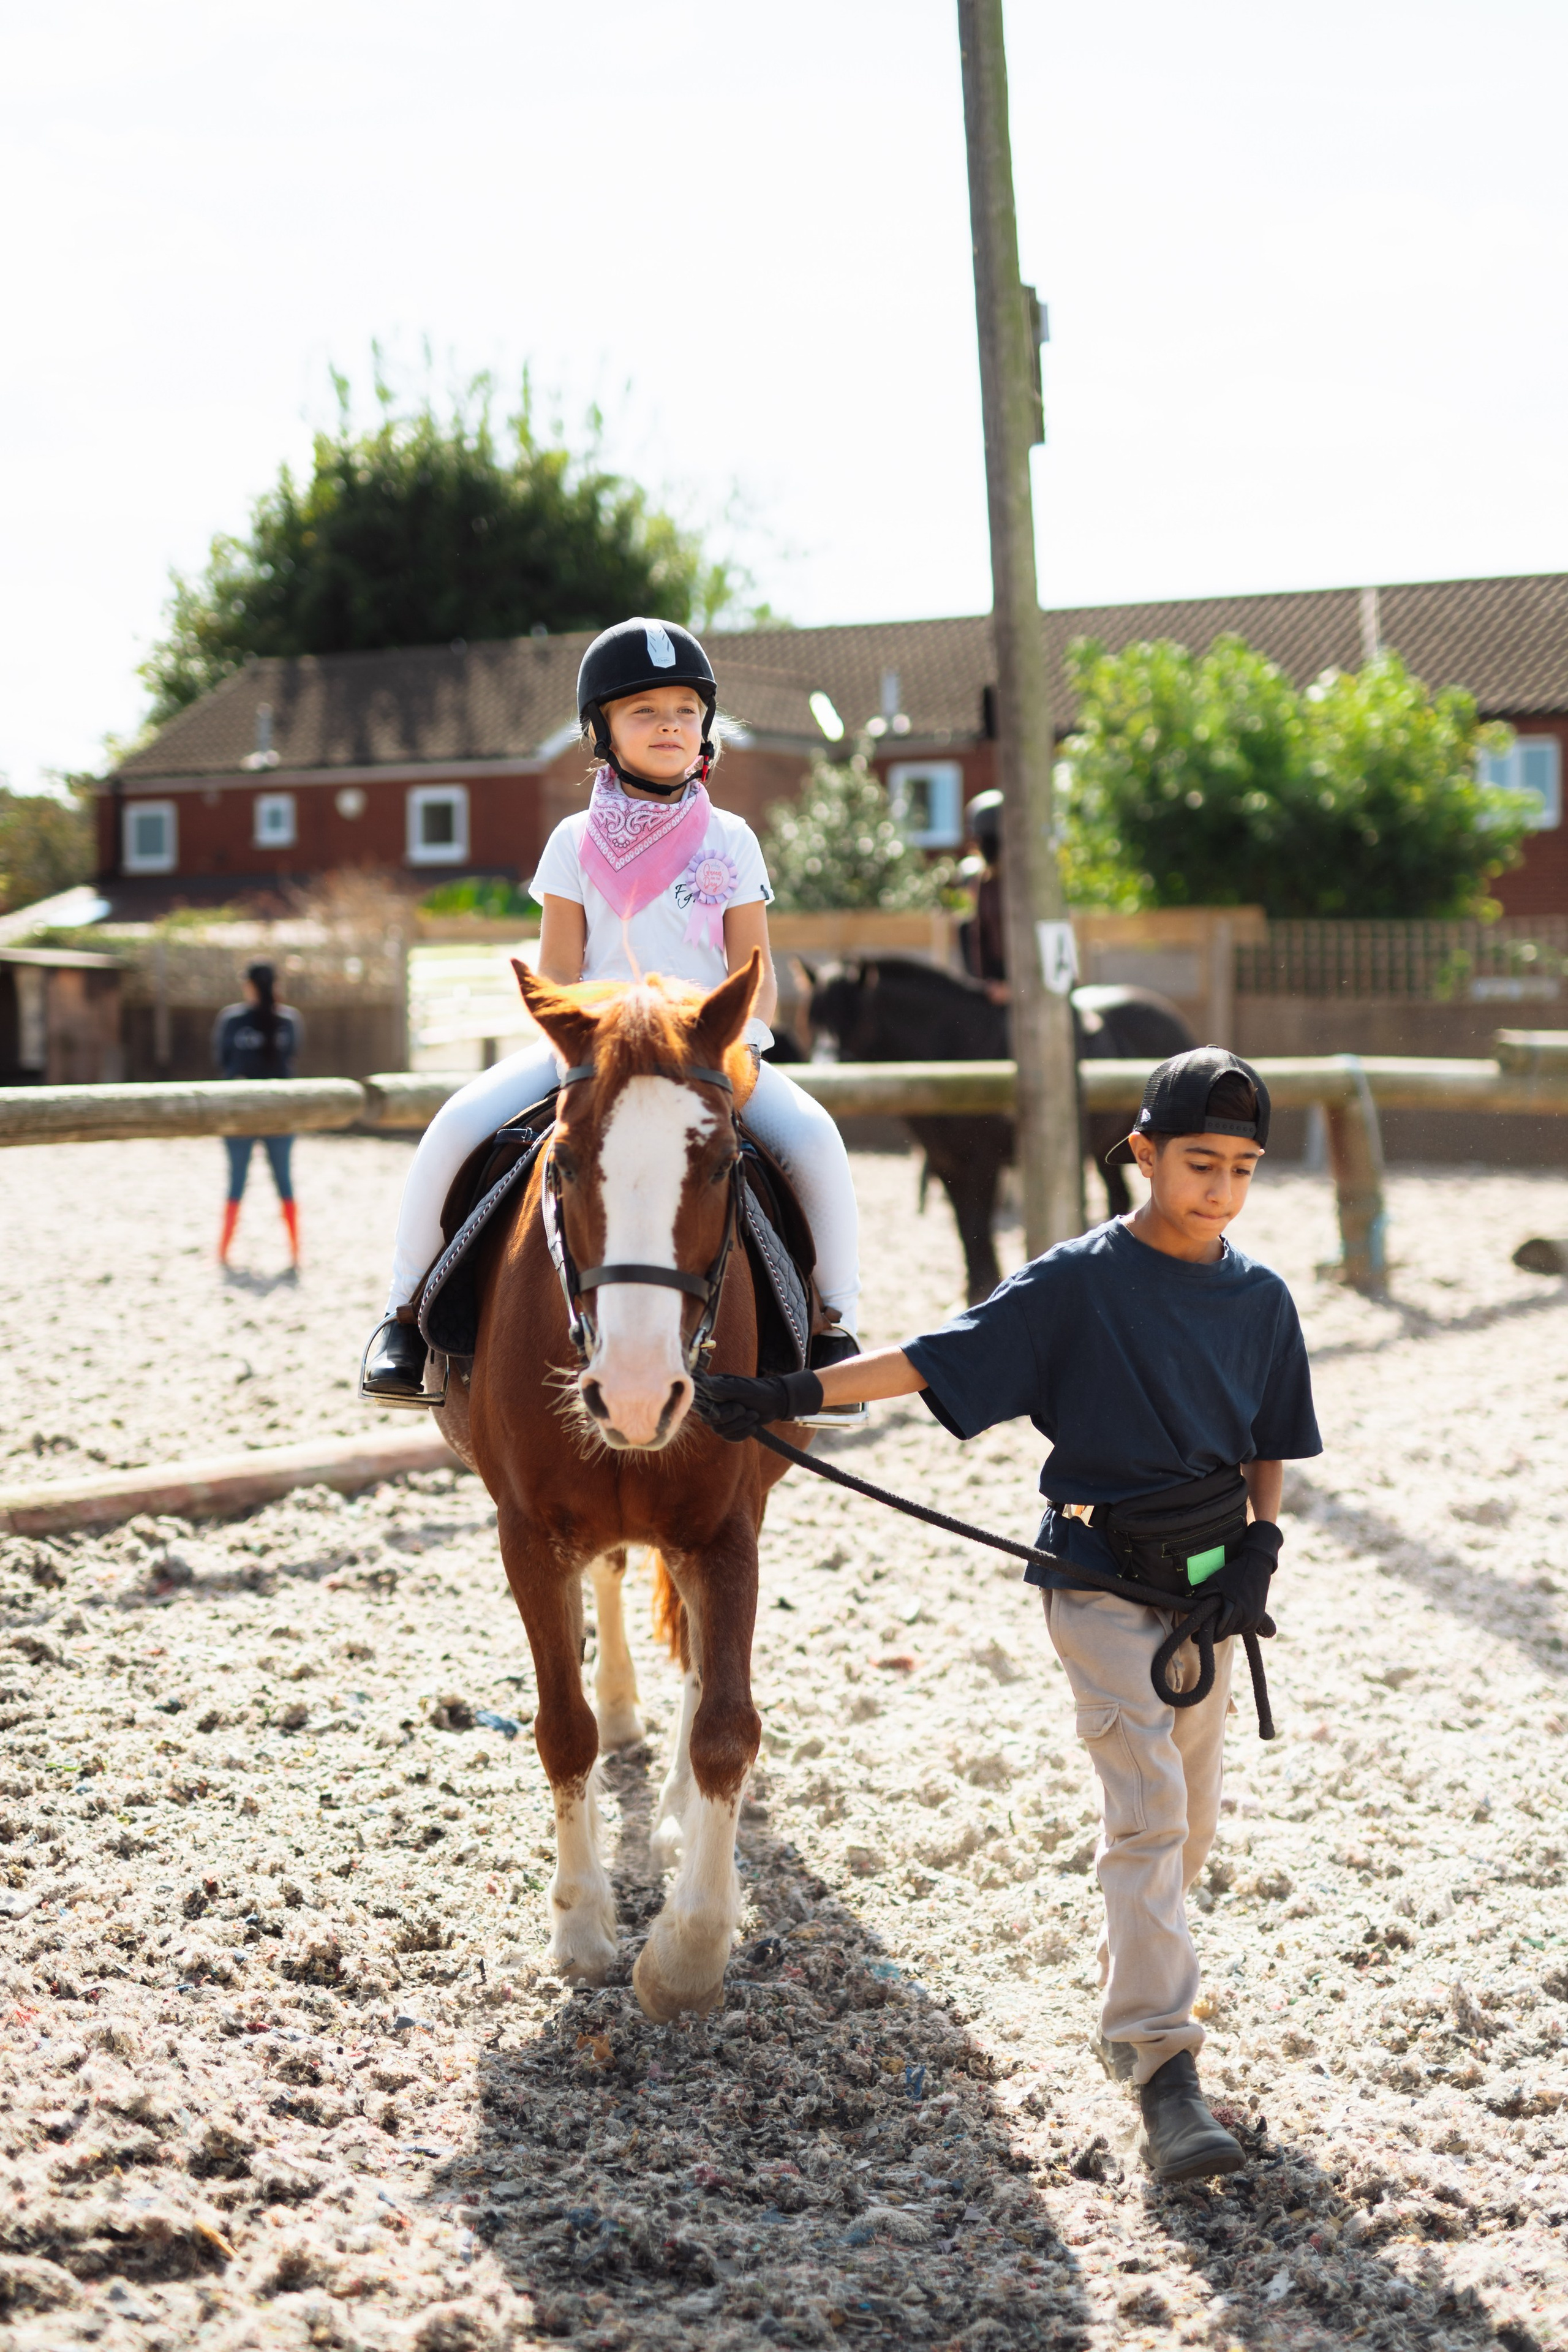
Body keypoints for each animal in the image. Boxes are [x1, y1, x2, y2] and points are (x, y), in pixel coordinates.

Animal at [432, 951, 796, 2022]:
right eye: (561, 1163)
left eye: (721, 1166)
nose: (635, 1393)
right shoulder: (525, 1534)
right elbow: (563, 1732)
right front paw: (583, 1931)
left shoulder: (726, 1530)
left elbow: (726, 1727)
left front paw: (688, 1950)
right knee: (611, 1580)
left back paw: (671, 1808)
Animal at [808, 959, 1195, 1303]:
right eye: (813, 1017)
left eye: (853, 1015)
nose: (826, 1070)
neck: (958, 1048)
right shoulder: (945, 1162)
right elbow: (965, 1226)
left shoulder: (983, 1161)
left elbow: (978, 1222)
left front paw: (982, 1287)